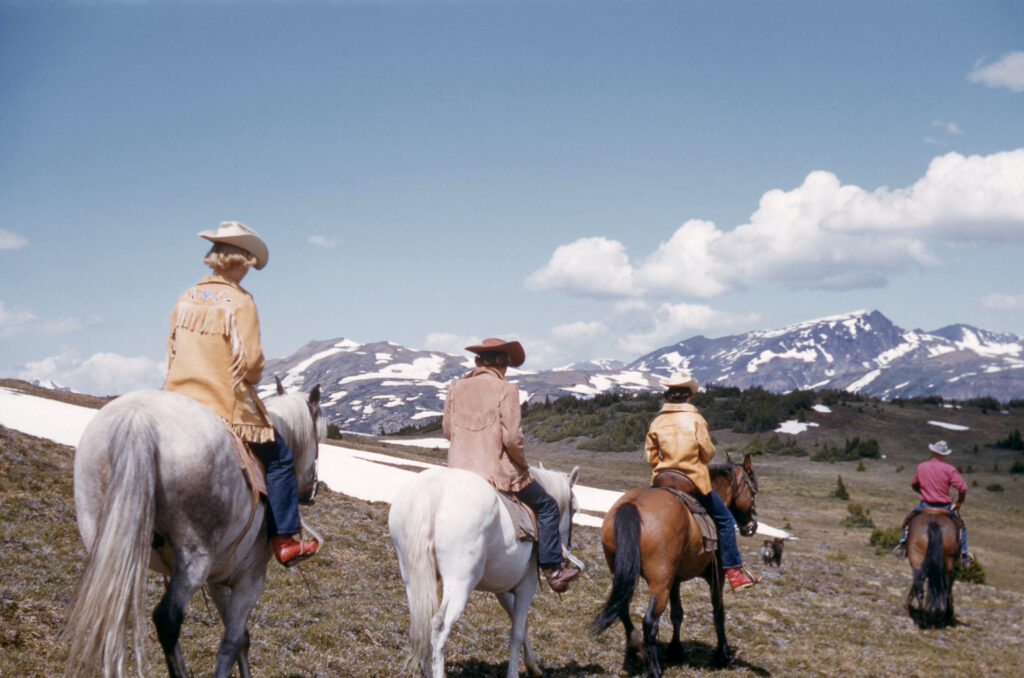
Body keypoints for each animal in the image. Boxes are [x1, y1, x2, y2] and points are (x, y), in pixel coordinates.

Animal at [66, 385, 321, 678]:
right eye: (319, 439)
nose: (311, 494)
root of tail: (137, 419)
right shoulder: (250, 579)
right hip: (194, 558)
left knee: (112, 615)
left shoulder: (217, 580)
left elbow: (241, 638)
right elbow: (232, 642)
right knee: (167, 618)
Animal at [389, 464, 585, 678]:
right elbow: (516, 632)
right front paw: (514, 673)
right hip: (459, 584)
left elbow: (521, 625)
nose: (566, 551)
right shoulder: (527, 586)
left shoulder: (503, 591)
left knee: (421, 623)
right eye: (575, 510)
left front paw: (533, 665)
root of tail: (431, 489)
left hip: (413, 578)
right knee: (439, 626)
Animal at [593, 454, 761, 678]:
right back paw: (654, 669)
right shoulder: (716, 576)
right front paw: (724, 655)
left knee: (622, 609)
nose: (751, 526)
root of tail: (632, 506)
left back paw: (635, 651)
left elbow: (677, 614)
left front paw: (675, 650)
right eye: (753, 491)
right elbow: (719, 612)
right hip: (659, 583)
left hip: (622, 574)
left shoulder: (675, 580)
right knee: (649, 622)